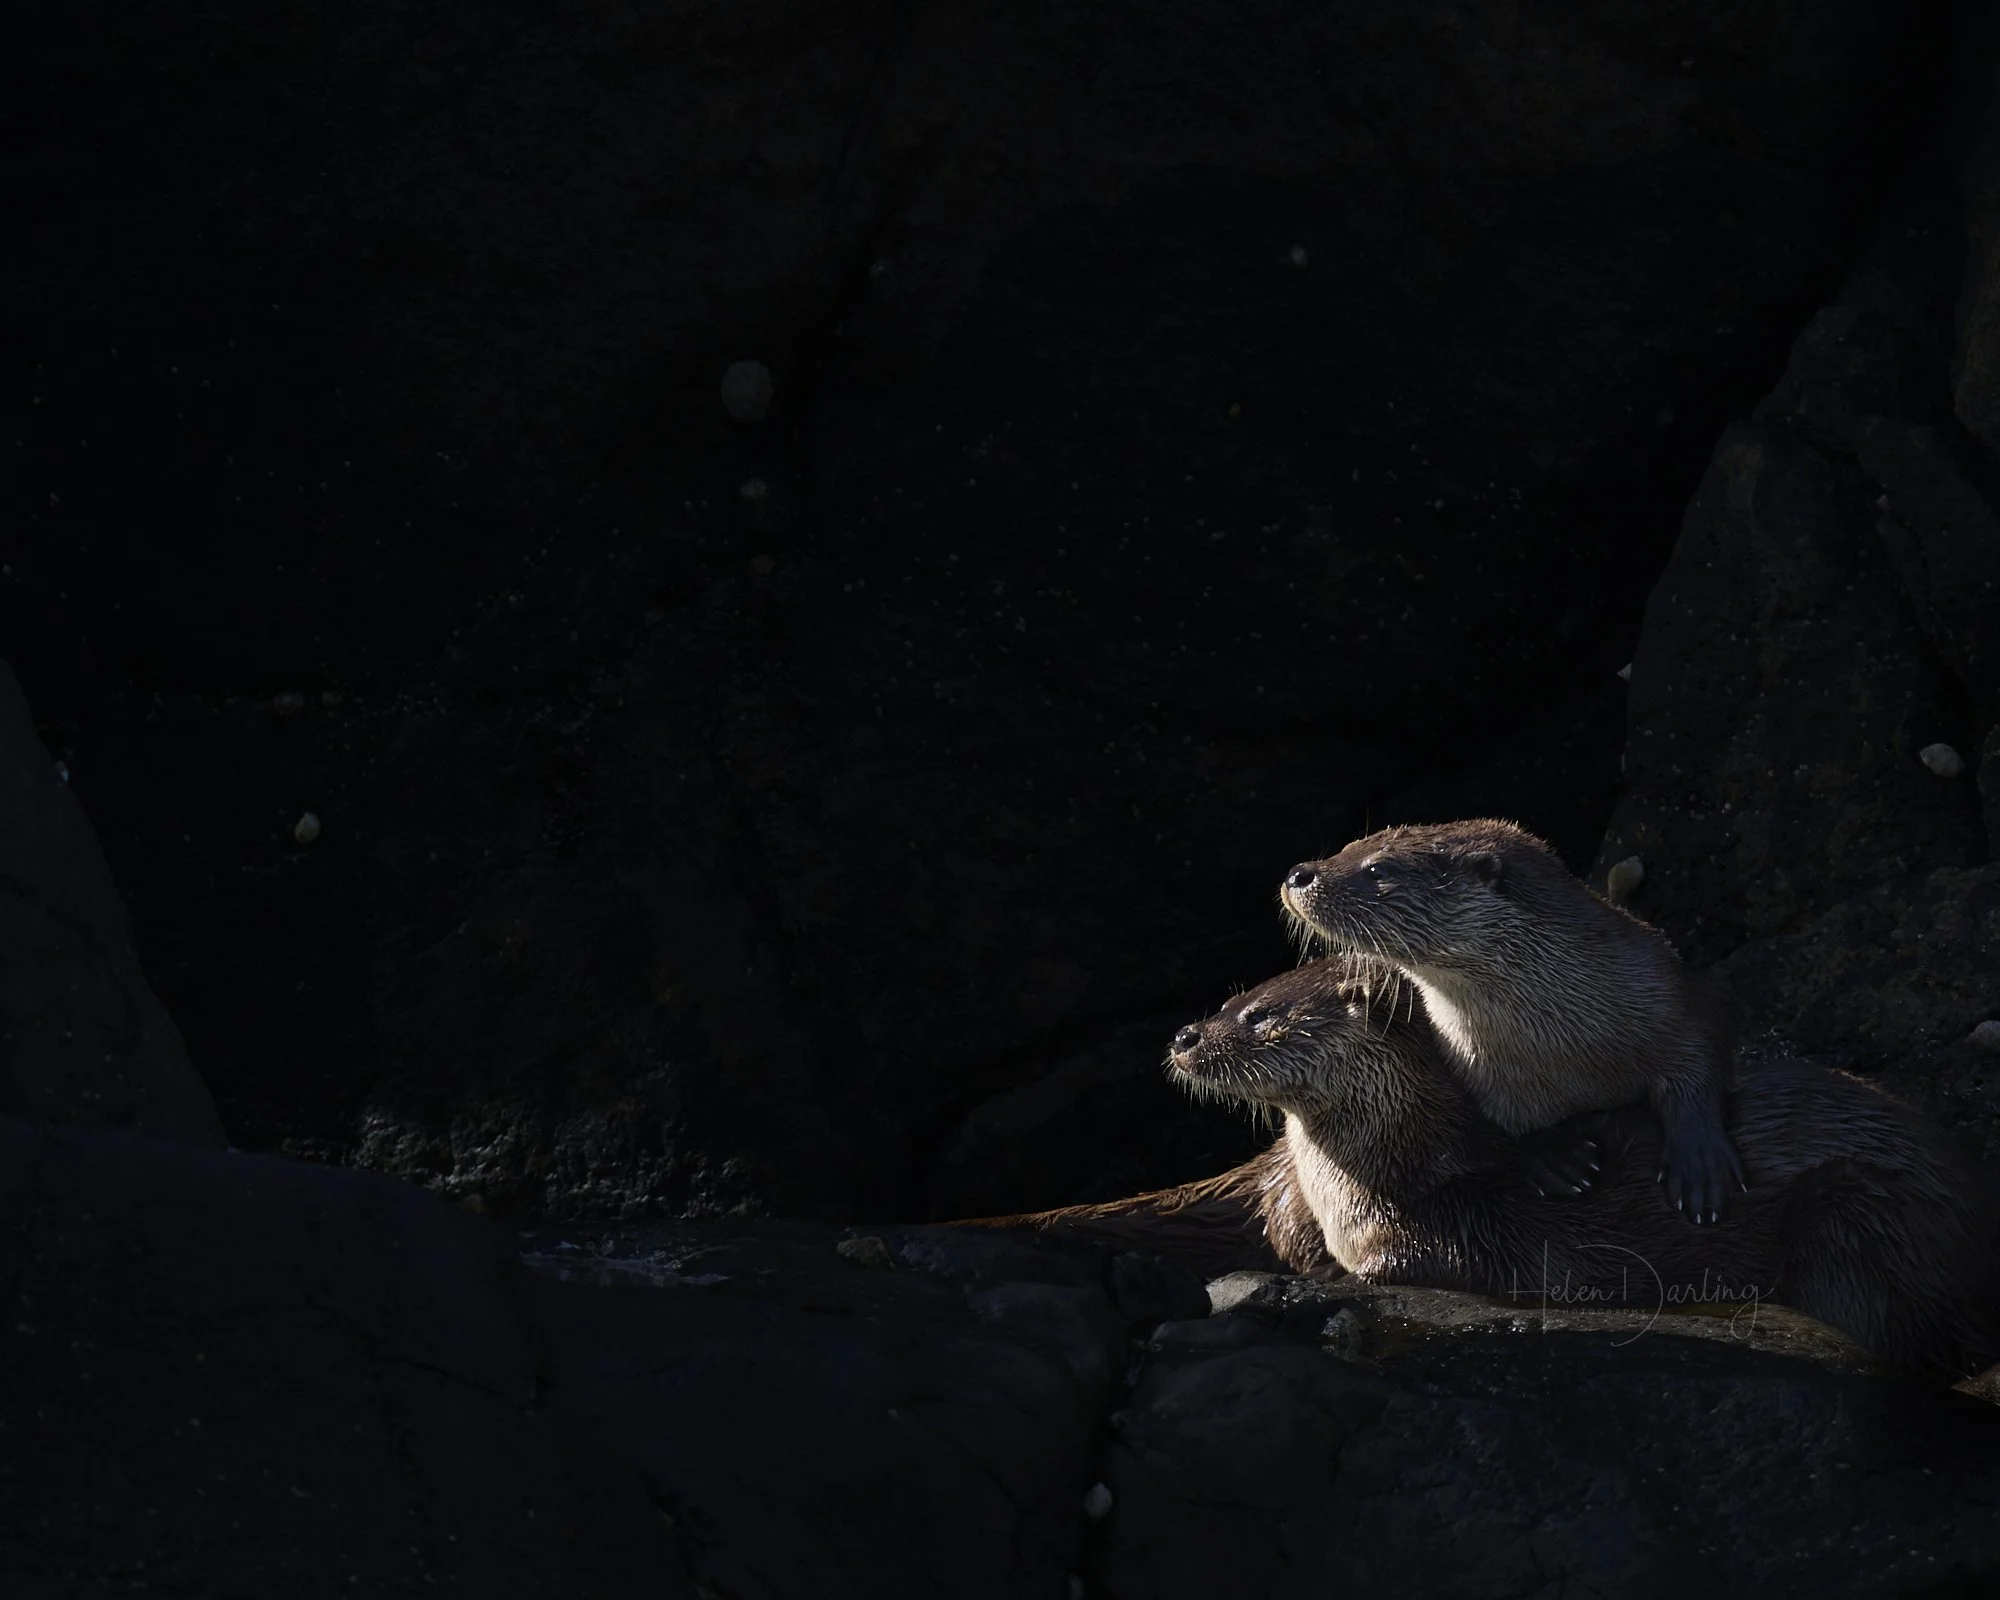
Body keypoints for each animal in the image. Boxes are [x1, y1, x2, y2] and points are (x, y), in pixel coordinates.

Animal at [1164, 954, 2000, 1380]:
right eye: (1233, 996)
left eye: (1261, 1016)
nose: (1184, 1035)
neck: (1390, 1176)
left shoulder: (1437, 1243)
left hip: (1864, 1218)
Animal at [1281, 818, 1740, 1222]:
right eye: (1349, 845)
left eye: (1378, 868)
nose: (1298, 873)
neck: (1561, 1048)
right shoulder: (1473, 1070)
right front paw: (1553, 1155)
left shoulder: (1666, 992)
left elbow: (1699, 1052)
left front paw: (1698, 1159)